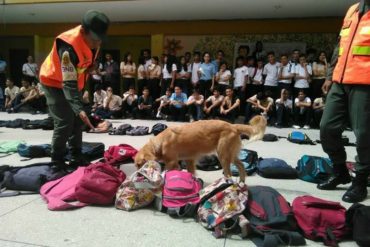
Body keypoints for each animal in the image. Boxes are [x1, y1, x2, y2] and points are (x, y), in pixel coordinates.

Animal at [134, 116, 268, 181]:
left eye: (141, 164)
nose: (138, 175)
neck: (161, 142)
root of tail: (232, 126)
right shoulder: (189, 160)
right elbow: (191, 172)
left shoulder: (172, 162)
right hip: (231, 155)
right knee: (241, 166)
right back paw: (241, 182)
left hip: (223, 155)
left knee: (229, 173)